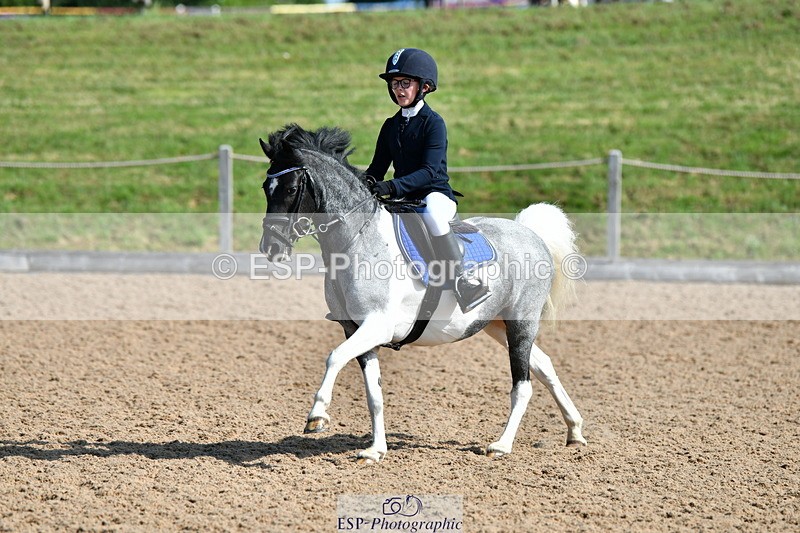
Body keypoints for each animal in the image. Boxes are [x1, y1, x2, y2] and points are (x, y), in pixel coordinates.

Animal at [258, 124, 587, 463]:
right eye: (266, 188)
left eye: (291, 189)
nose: (271, 248)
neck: (356, 241)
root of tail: (530, 233)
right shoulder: (355, 328)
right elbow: (374, 393)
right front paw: (376, 450)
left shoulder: (377, 326)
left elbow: (334, 357)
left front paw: (317, 416)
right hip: (496, 324)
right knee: (544, 364)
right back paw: (574, 430)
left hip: (522, 321)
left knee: (523, 384)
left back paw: (502, 445)